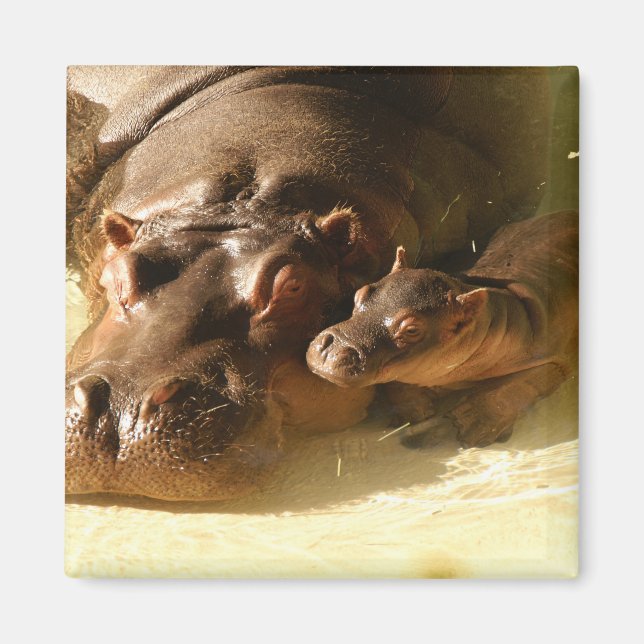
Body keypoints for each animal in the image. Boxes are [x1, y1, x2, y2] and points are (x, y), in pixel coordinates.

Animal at [307, 211, 578, 447]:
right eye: (361, 293)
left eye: (412, 330)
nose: (332, 349)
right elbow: (397, 382)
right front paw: (414, 413)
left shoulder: (555, 357)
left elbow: (515, 385)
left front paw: (472, 425)